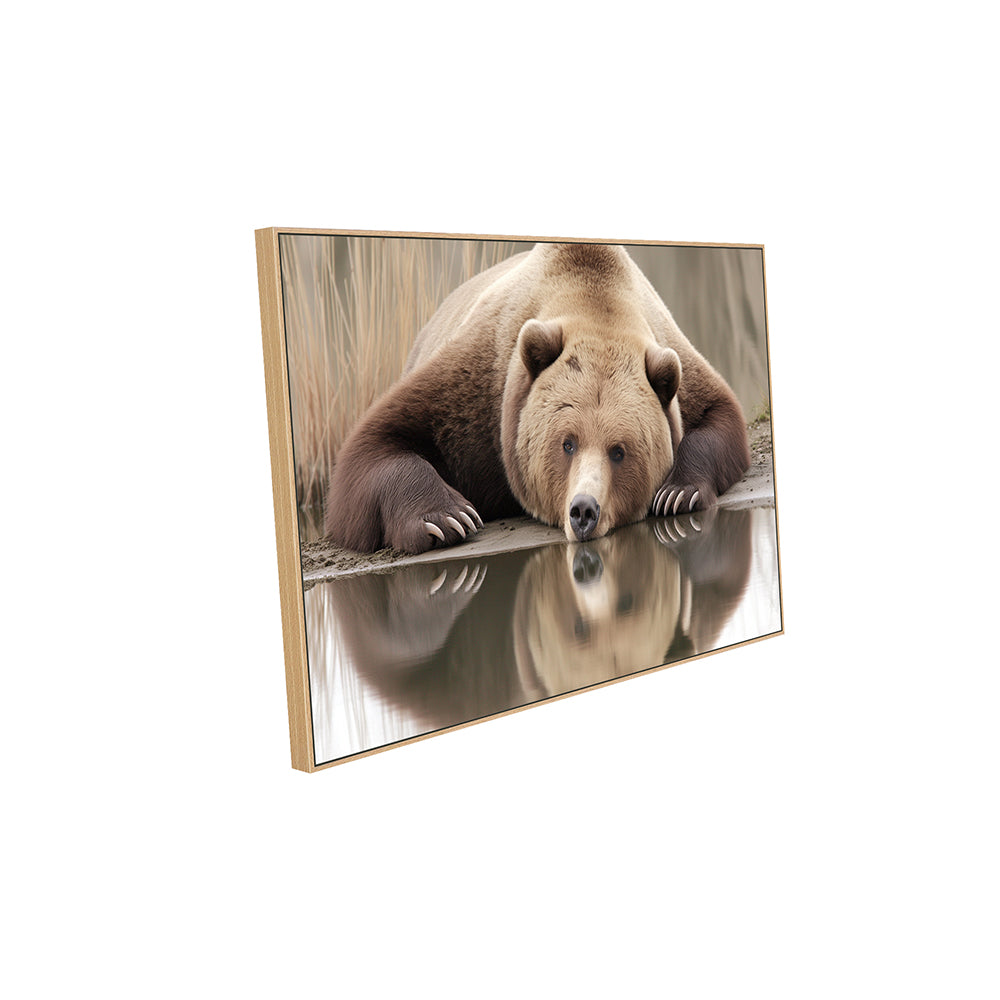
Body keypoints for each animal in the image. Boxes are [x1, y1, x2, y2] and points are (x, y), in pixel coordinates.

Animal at [323, 242, 750, 554]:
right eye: (567, 443)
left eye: (620, 450)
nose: (583, 510)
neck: (592, 301)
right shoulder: (477, 391)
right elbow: (376, 443)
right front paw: (447, 518)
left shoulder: (675, 369)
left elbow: (719, 415)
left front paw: (677, 493)